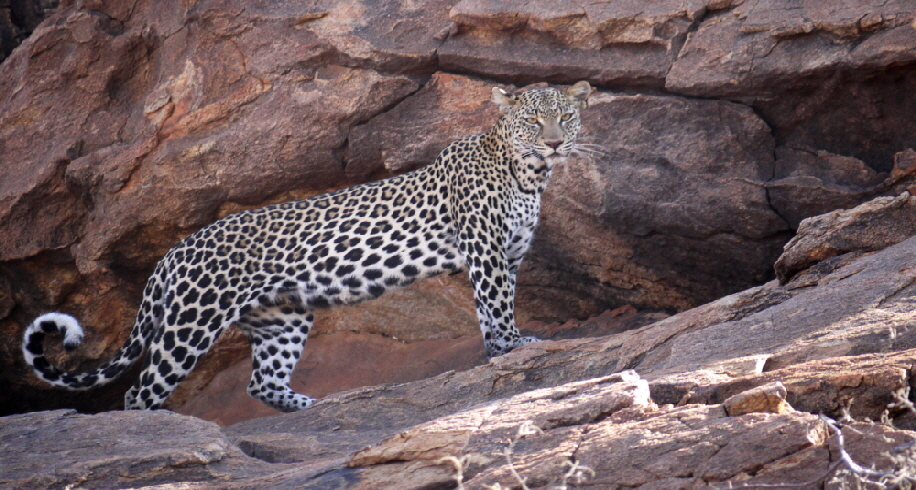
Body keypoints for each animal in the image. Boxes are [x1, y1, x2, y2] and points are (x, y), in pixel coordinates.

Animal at [25, 81, 592, 414]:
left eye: (566, 116)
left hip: (283, 318)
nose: (554, 142)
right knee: (140, 392)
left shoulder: (508, 256)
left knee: (261, 383)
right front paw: (514, 346)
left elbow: (493, 309)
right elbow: (496, 305)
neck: (529, 174)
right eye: (533, 120)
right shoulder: (486, 251)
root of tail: (172, 252)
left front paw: (500, 351)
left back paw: (314, 406)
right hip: (191, 323)